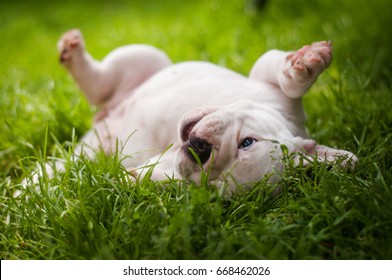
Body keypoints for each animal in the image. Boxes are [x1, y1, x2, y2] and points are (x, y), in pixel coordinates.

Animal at [56, 30, 356, 192]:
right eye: (247, 142)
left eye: (211, 187)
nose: (200, 150)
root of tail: (101, 128)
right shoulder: (272, 89)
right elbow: (289, 82)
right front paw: (306, 64)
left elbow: (156, 175)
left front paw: (132, 180)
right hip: (145, 57)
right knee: (102, 82)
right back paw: (73, 53)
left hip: (90, 153)